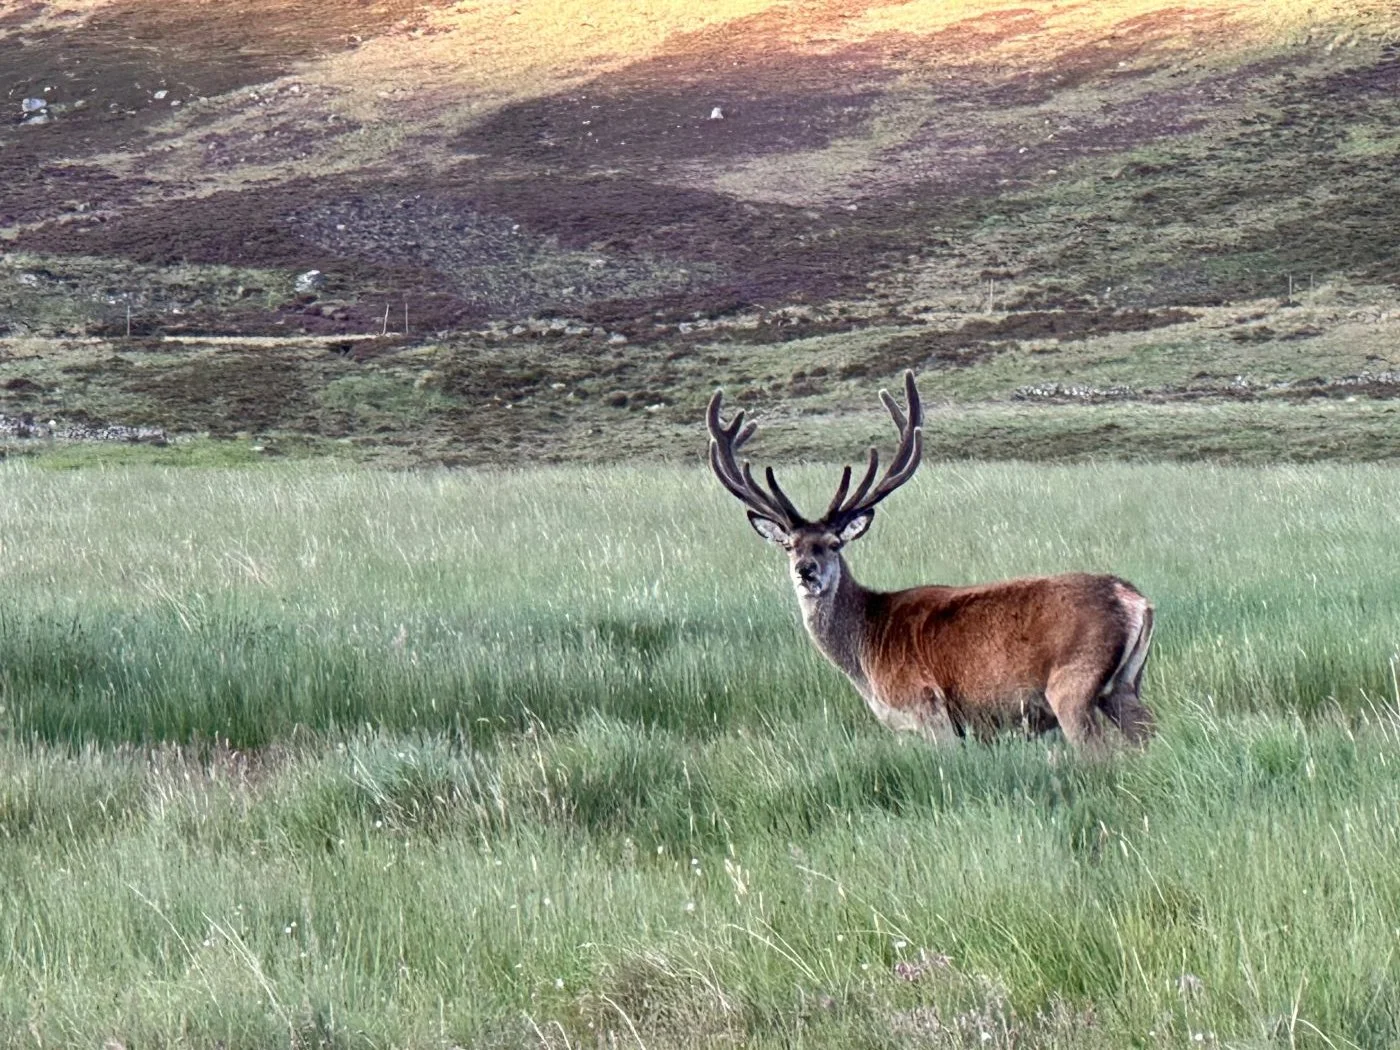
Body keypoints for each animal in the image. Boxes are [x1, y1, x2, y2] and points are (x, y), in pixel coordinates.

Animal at [706, 371, 1155, 749]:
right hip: (1125, 686)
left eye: (834, 543)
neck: (866, 654)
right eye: (790, 546)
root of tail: (1135, 601)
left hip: (1072, 685)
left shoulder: (928, 710)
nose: (806, 571)